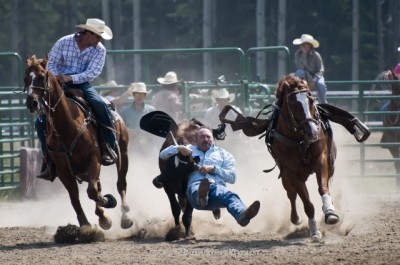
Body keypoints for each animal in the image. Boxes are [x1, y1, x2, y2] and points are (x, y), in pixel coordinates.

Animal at [23, 55, 133, 229]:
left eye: (41, 76)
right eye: (25, 78)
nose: (31, 103)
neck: (66, 127)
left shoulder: (94, 160)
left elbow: (92, 192)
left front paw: (108, 203)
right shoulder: (62, 170)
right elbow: (75, 197)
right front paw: (87, 225)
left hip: (123, 153)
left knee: (120, 183)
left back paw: (126, 216)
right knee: (97, 186)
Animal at [268, 73, 338, 240]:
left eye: (311, 100)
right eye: (293, 104)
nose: (312, 131)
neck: (300, 140)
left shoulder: (321, 161)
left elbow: (323, 188)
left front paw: (330, 213)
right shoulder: (291, 172)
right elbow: (307, 203)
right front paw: (314, 231)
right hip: (285, 176)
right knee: (291, 194)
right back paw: (295, 219)